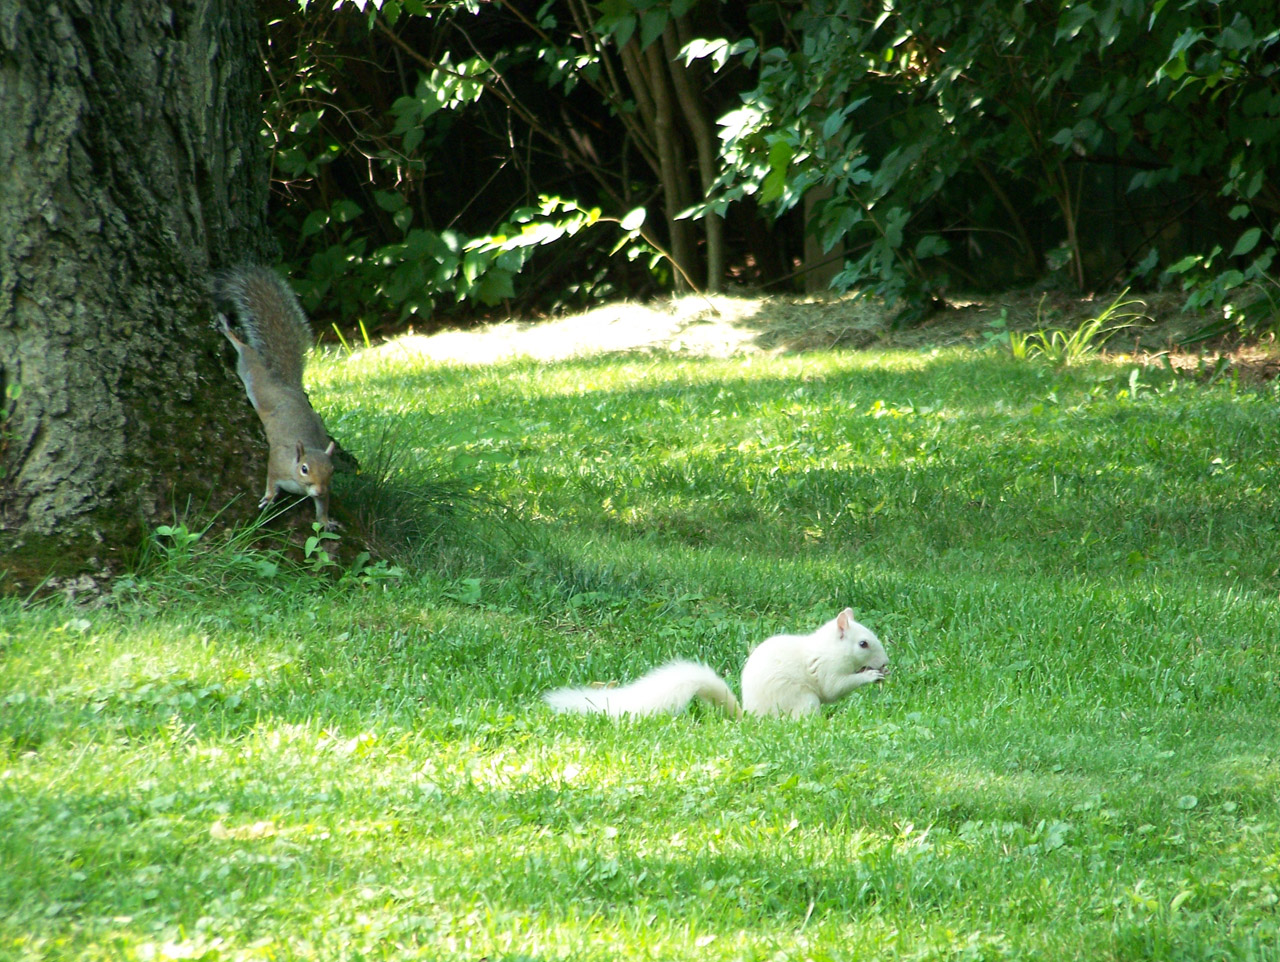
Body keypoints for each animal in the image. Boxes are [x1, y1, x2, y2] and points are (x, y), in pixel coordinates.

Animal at [215, 267, 337, 529]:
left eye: (331, 470)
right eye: (304, 469)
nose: (320, 489)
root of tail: (287, 387)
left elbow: (322, 506)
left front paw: (325, 521)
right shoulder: (277, 464)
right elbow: (271, 479)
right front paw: (269, 498)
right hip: (254, 377)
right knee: (246, 352)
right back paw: (228, 329)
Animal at [542, 603, 890, 716]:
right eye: (863, 643)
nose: (886, 663)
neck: (831, 649)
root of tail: (751, 718)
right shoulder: (827, 670)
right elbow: (834, 689)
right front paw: (870, 676)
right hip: (803, 702)